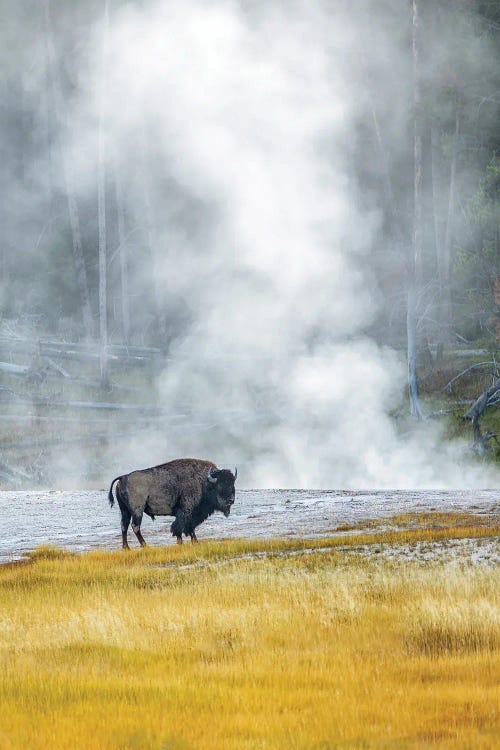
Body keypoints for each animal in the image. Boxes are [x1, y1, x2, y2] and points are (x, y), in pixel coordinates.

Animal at [108, 456, 236, 548]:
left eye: (232, 484)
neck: (204, 482)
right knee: (135, 526)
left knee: (124, 525)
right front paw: (183, 542)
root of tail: (123, 477)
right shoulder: (187, 511)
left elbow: (187, 527)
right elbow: (182, 526)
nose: (231, 500)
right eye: (220, 485)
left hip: (124, 510)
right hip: (137, 511)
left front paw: (193, 542)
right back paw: (145, 546)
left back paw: (126, 548)